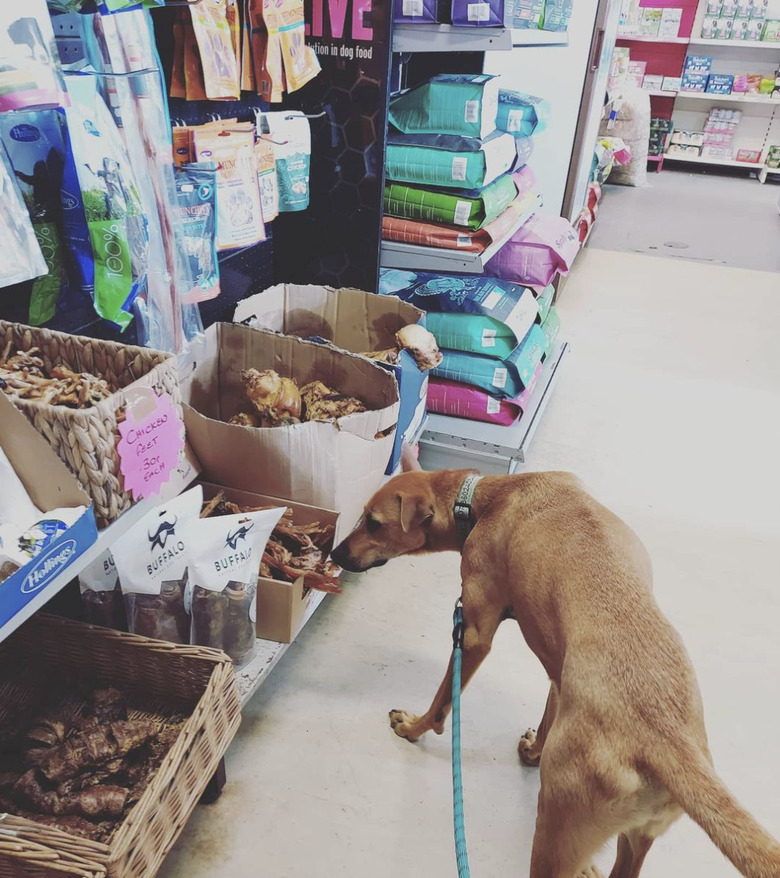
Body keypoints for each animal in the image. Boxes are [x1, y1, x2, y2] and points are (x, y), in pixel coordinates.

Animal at [330, 470, 780, 878]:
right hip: (637, 836)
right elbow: (549, 710)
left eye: (373, 522)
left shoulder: (473, 636)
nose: (334, 555)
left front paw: (413, 728)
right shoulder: (556, 664)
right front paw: (532, 751)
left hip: (555, 830)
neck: (484, 497)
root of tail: (670, 742)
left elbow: (443, 702)